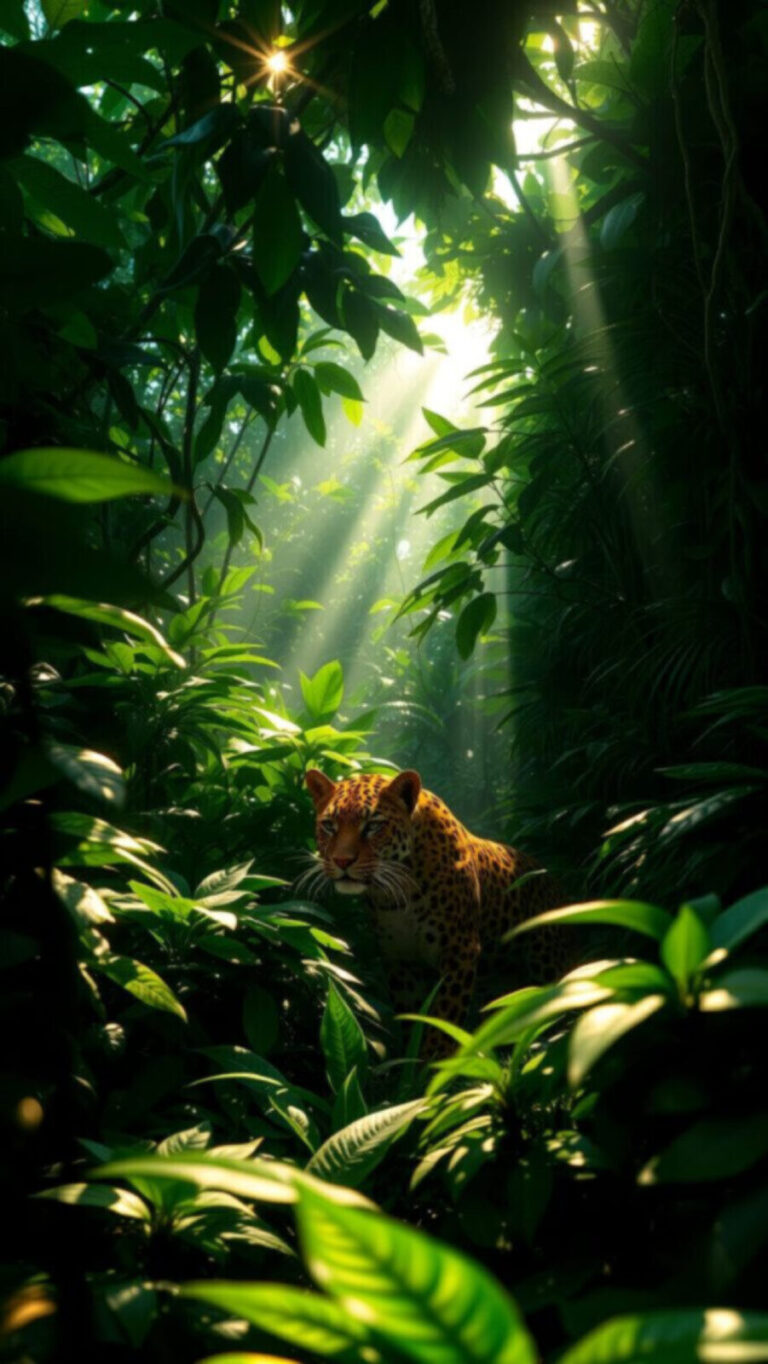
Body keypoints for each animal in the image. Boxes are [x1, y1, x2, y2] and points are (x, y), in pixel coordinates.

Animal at [303, 766, 566, 1055]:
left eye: (373, 826)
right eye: (329, 826)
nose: (342, 861)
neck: (398, 894)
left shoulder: (459, 951)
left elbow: (443, 1020)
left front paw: (435, 1061)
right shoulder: (400, 960)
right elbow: (412, 1018)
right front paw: (412, 1060)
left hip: (547, 961)